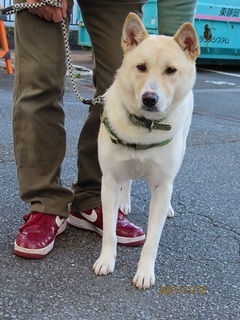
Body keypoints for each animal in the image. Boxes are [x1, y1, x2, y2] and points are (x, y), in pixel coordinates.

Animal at [93, 12, 200, 288]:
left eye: (171, 70)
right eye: (141, 67)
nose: (149, 98)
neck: (144, 126)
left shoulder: (162, 185)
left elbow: (152, 240)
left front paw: (144, 272)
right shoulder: (109, 180)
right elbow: (109, 231)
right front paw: (106, 259)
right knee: (128, 181)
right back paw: (124, 203)